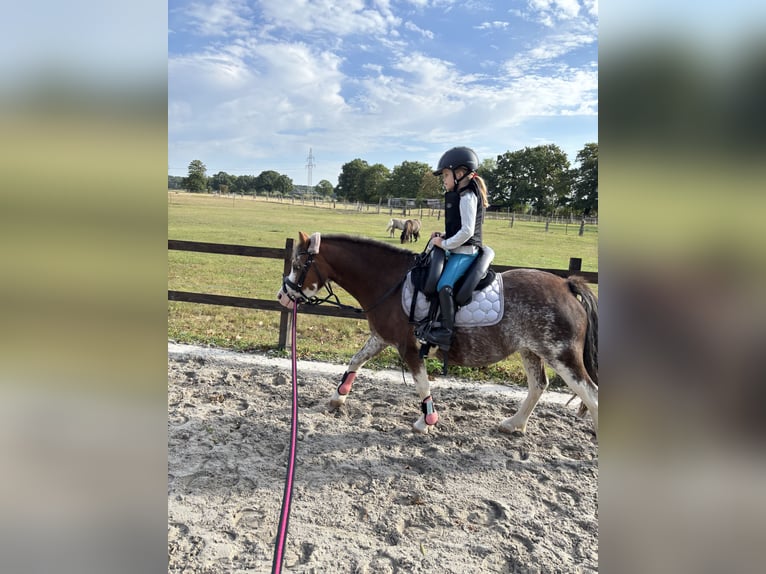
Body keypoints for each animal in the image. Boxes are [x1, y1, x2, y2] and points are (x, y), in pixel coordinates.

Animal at [277, 232, 598, 437]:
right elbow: (356, 361)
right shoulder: (381, 338)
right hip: (530, 350)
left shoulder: (408, 347)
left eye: (298, 265)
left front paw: (426, 420)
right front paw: (338, 397)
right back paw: (514, 424)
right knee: (538, 386)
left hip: (562, 355)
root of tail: (566, 285)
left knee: (591, 394)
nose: (282, 296)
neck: (391, 282)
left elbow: (421, 383)